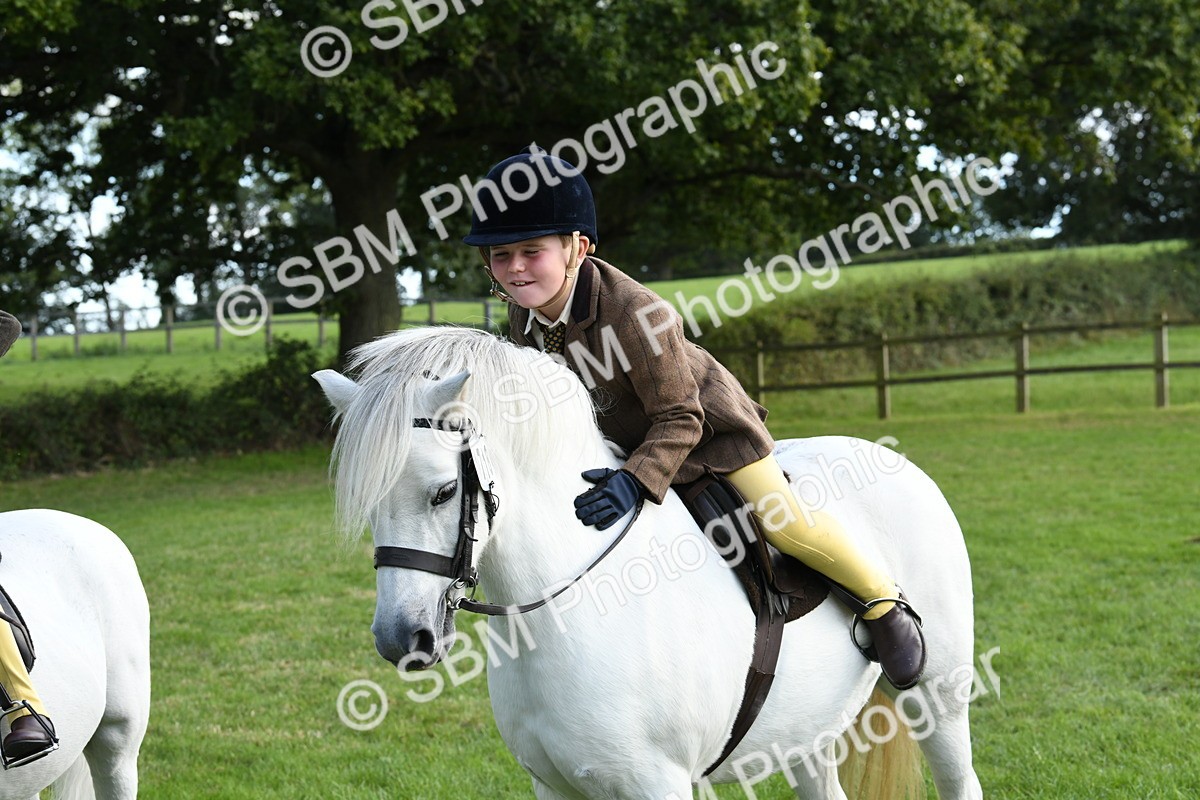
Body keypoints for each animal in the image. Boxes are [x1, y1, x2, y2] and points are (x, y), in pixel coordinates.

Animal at [314, 326, 983, 800]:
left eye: (444, 492)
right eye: (368, 504)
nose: (401, 638)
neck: (572, 607)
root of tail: (893, 460)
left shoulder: (658, 784)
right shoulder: (554, 787)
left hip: (939, 697)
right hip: (808, 727)